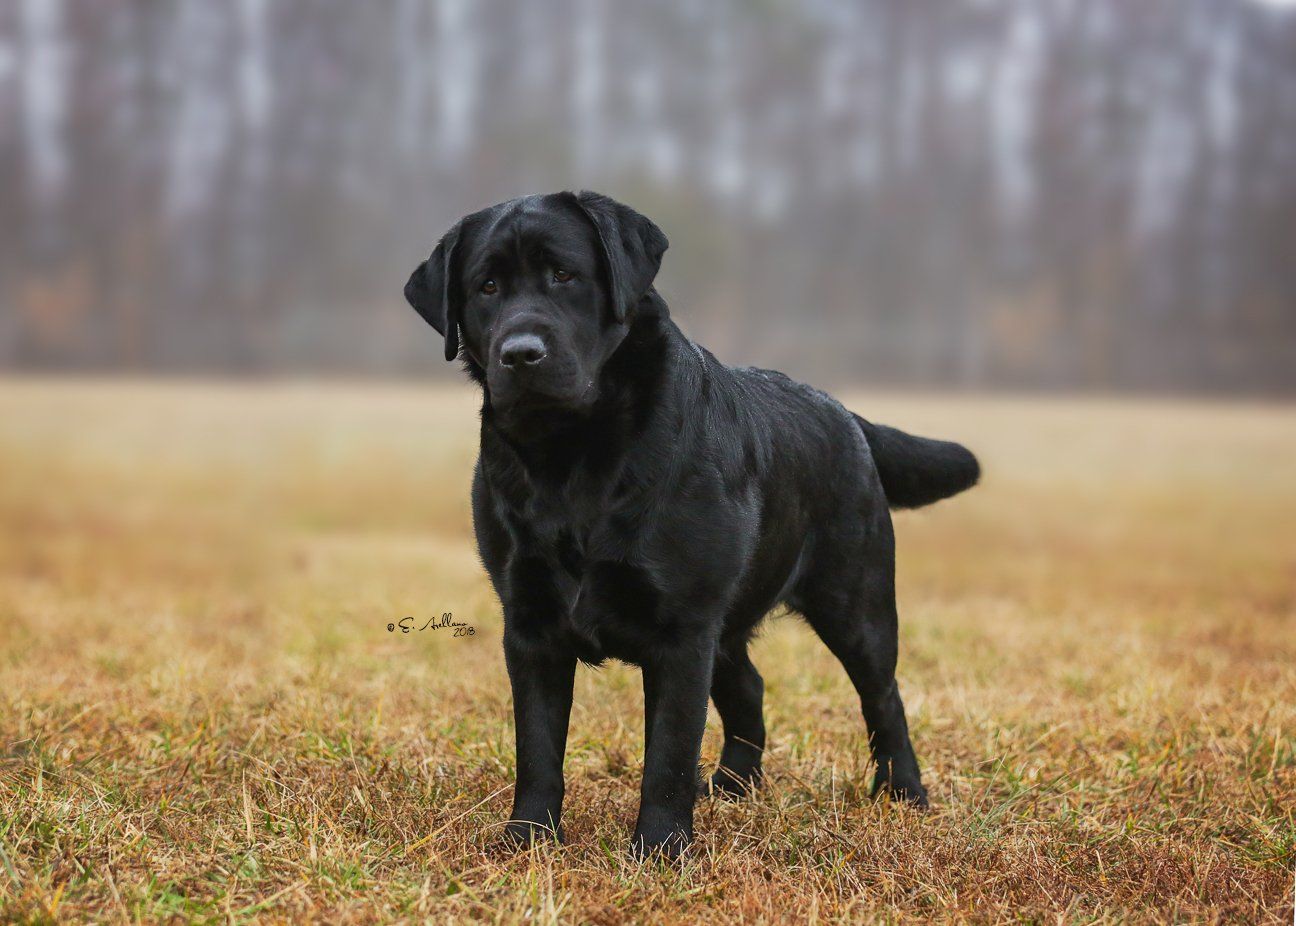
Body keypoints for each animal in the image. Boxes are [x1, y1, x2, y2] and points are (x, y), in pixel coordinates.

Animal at [399, 191, 974, 859]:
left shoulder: (682, 630)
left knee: (883, 697)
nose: (520, 353)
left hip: (855, 604)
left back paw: (904, 793)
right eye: (486, 286)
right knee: (749, 688)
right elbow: (538, 749)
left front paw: (659, 849)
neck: (573, 459)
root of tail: (845, 413)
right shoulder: (531, 624)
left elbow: (669, 755)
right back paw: (733, 787)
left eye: (564, 275)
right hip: (730, 625)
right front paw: (528, 840)